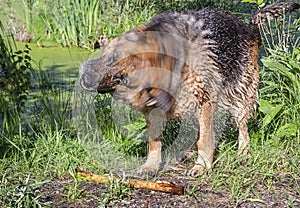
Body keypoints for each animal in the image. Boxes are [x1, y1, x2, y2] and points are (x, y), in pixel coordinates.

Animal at [78, 2, 298, 176]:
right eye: (102, 53)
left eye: (114, 57)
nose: (82, 74)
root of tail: (249, 26)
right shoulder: (154, 110)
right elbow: (154, 141)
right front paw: (151, 165)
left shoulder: (205, 100)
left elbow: (205, 139)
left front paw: (202, 166)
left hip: (240, 95)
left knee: (241, 127)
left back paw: (243, 154)